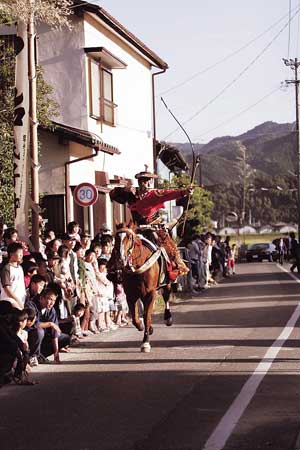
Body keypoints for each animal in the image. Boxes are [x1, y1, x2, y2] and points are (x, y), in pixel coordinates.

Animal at [109, 223, 172, 354]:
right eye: (116, 238)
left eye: (129, 238)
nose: (121, 260)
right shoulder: (131, 294)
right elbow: (135, 318)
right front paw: (142, 325)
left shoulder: (150, 293)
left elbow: (147, 316)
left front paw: (145, 343)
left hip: (167, 281)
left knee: (166, 295)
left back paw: (168, 318)